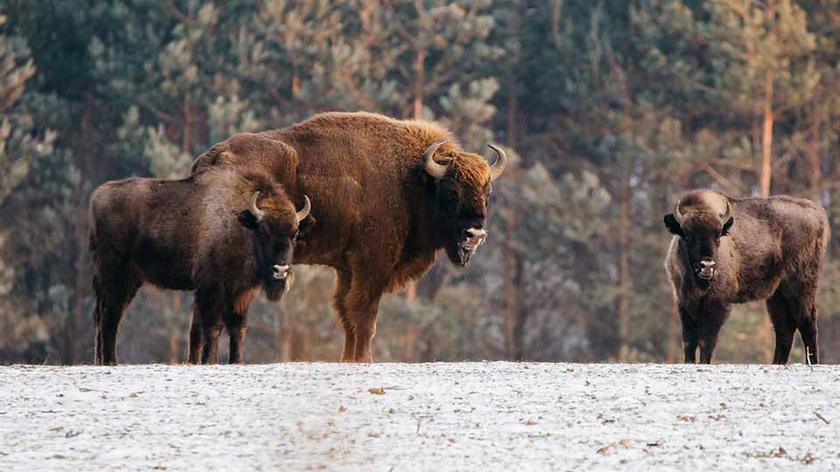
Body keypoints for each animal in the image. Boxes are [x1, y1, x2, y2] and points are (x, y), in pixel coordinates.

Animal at [89, 167, 312, 366]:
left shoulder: (241, 293)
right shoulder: (213, 288)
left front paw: (236, 361)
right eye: (264, 232)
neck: (241, 225)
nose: (280, 270)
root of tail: (97, 198)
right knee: (110, 318)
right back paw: (111, 361)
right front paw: (209, 360)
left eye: (294, 233)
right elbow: (213, 327)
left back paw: (101, 361)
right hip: (118, 279)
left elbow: (238, 328)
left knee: (102, 318)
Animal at [190, 111, 506, 362]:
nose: (475, 233)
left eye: (487, 193)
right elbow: (364, 311)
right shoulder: (372, 263)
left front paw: (348, 358)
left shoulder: (347, 267)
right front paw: (364, 359)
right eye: (451, 191)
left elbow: (346, 310)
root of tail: (214, 156)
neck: (410, 179)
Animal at [668, 189, 832, 366]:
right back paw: (777, 363)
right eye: (687, 236)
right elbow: (689, 340)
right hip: (777, 294)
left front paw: (703, 362)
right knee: (784, 328)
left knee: (807, 321)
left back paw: (812, 363)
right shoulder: (684, 302)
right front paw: (689, 362)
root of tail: (818, 213)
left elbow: (706, 339)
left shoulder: (716, 303)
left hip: (800, 286)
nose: (707, 265)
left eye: (718, 236)